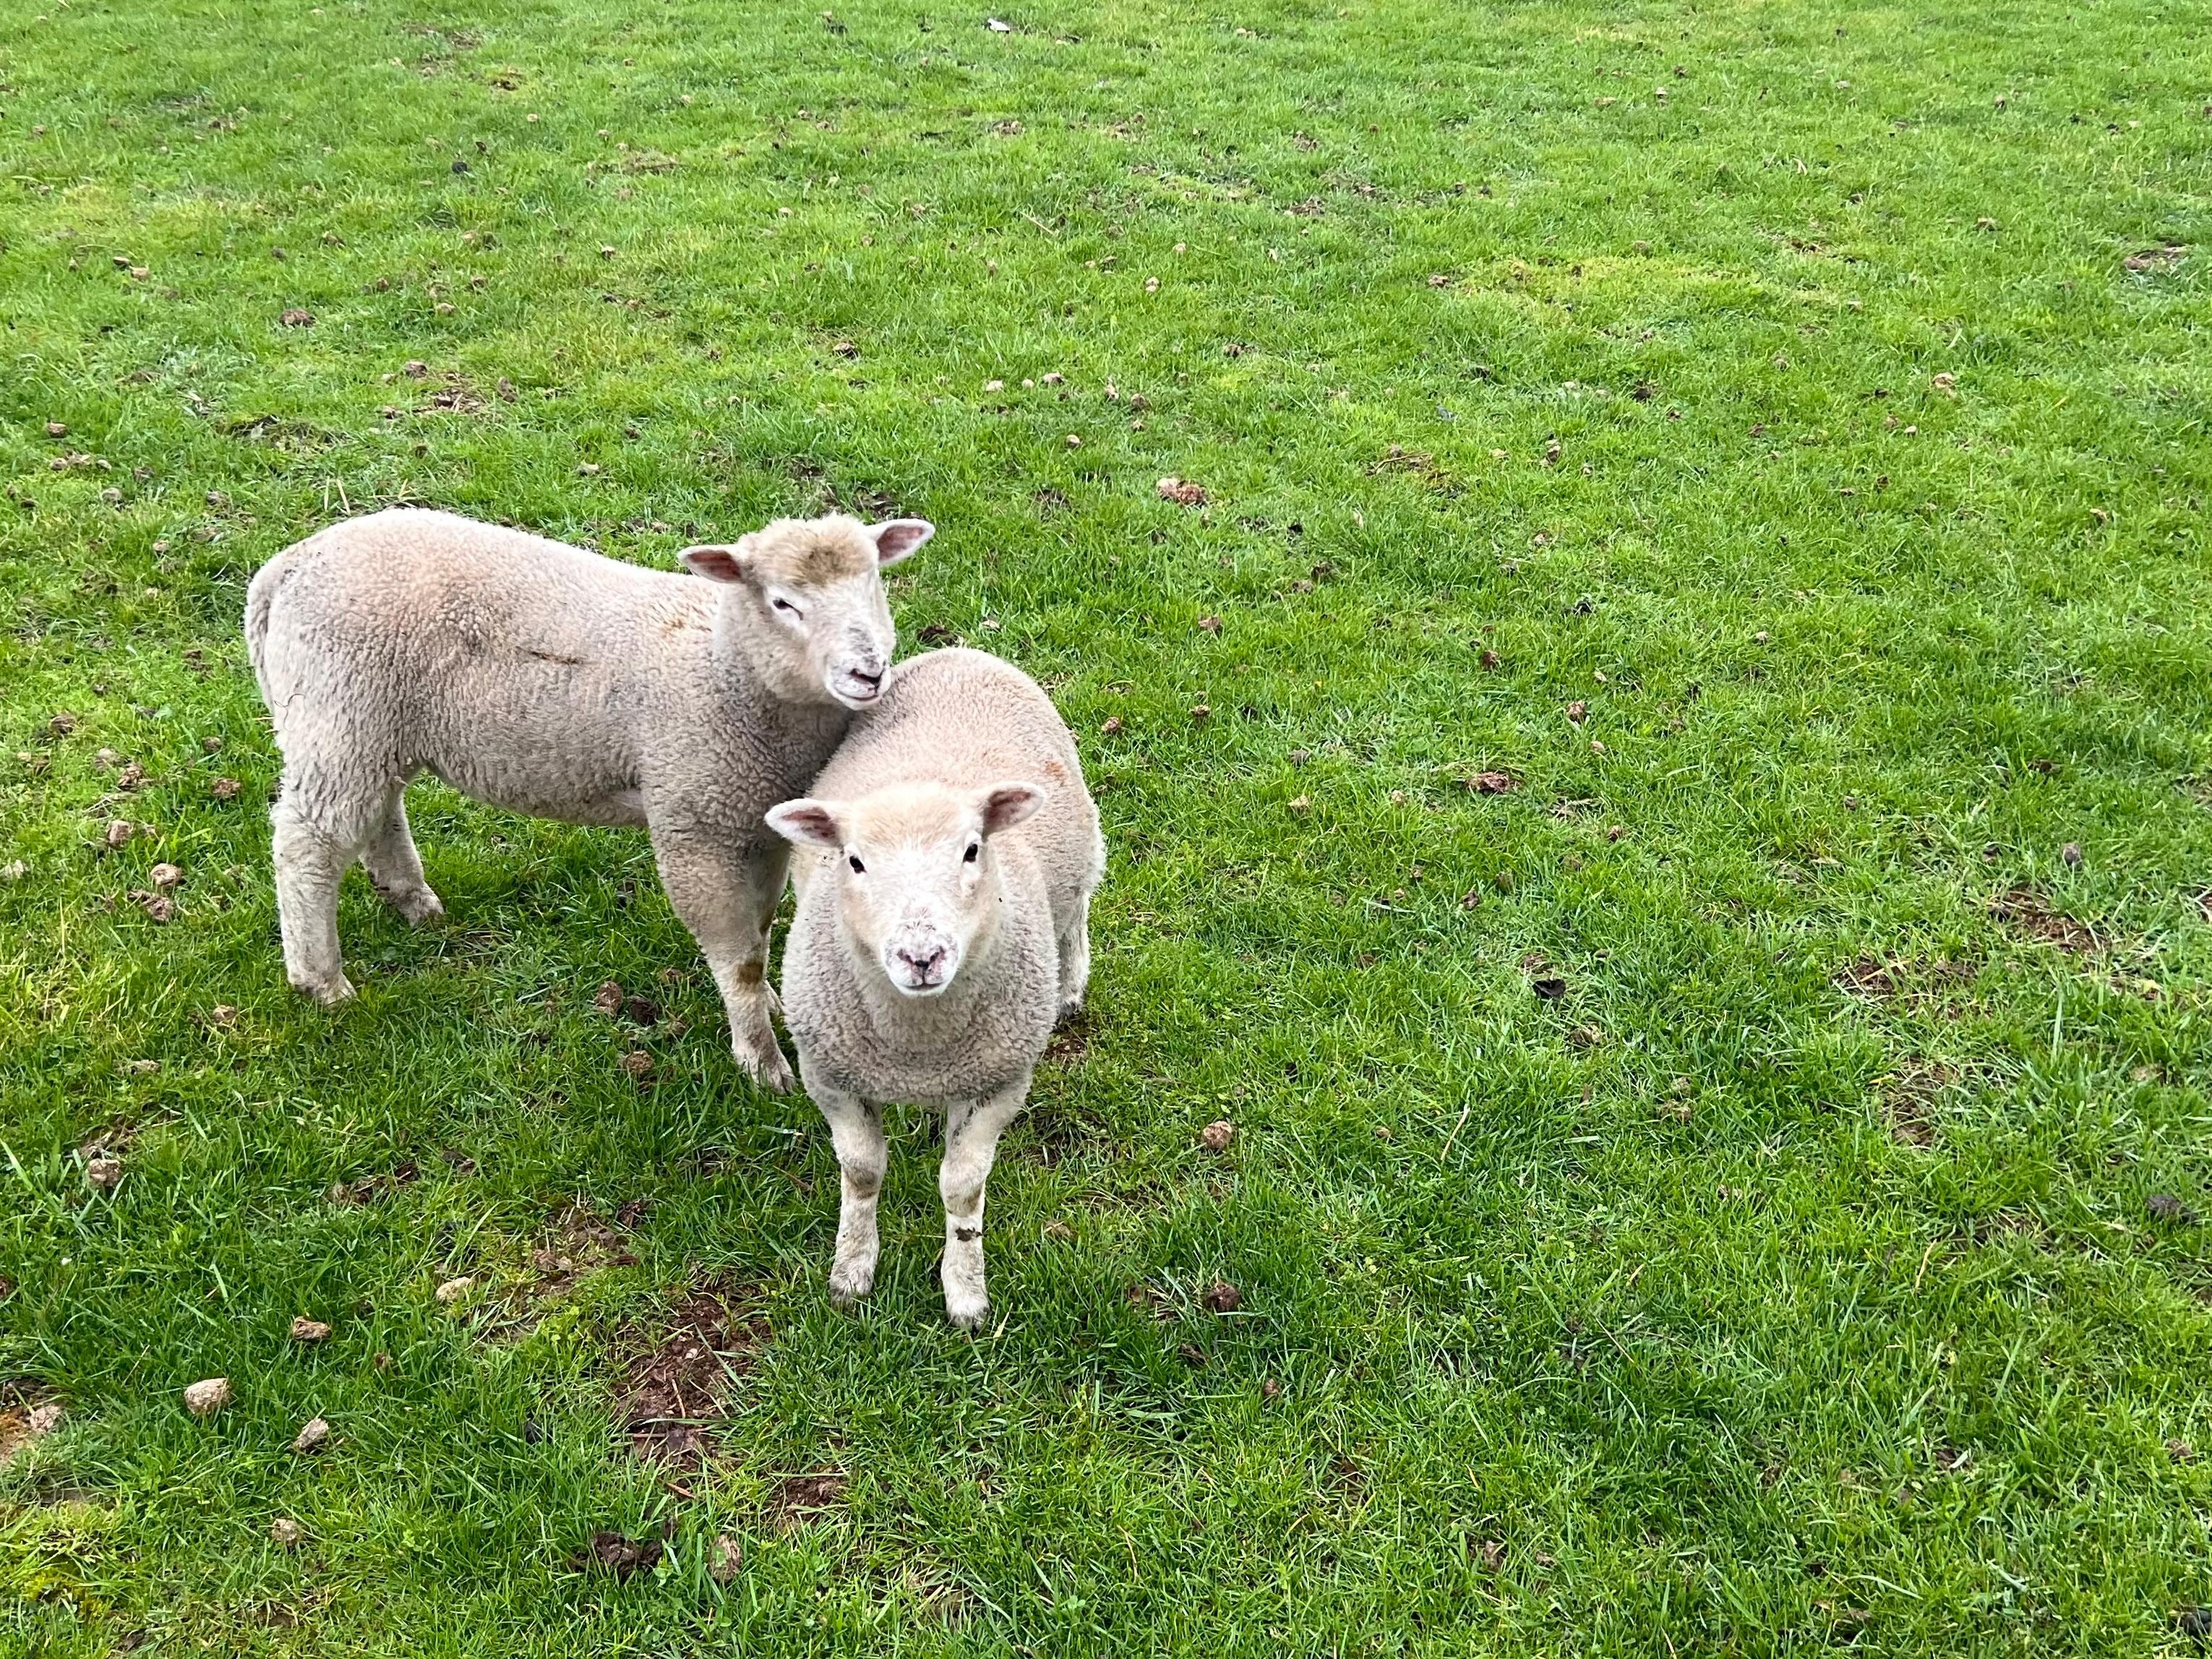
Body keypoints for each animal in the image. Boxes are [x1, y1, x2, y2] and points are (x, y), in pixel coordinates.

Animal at [244, 507, 931, 1093]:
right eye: (783, 602)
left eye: (873, 583)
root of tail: (285, 568)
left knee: (378, 814)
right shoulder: (695, 820)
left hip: (372, 729)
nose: (869, 672)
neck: (724, 671)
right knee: (308, 845)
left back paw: (412, 900)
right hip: (341, 710)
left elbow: (758, 934)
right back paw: (320, 980)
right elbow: (737, 958)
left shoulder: (756, 823)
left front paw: (768, 1005)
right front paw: (761, 1060)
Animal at [765, 647, 1104, 1328]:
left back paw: (1070, 987)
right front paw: (852, 1270)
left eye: (972, 850)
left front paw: (966, 1291)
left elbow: (961, 1186)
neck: (918, 1042)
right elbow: (863, 1172)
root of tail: (963, 651)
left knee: (1076, 911)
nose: (921, 956)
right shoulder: (829, 1074)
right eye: (854, 860)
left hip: (1080, 848)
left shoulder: (1000, 1081)